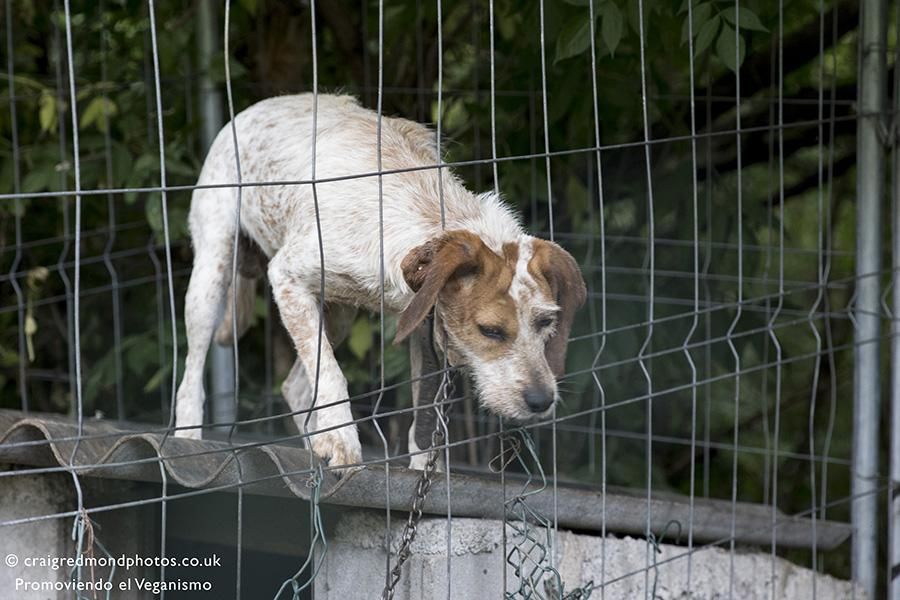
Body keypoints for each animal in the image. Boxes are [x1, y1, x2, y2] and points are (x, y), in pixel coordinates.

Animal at [173, 94, 588, 468]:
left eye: (546, 322)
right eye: (490, 331)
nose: (541, 401)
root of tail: (252, 110)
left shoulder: (425, 327)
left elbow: (423, 422)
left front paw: (422, 470)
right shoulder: (287, 277)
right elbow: (332, 375)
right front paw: (342, 440)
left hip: (336, 314)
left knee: (295, 386)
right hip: (211, 278)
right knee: (191, 378)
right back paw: (188, 440)